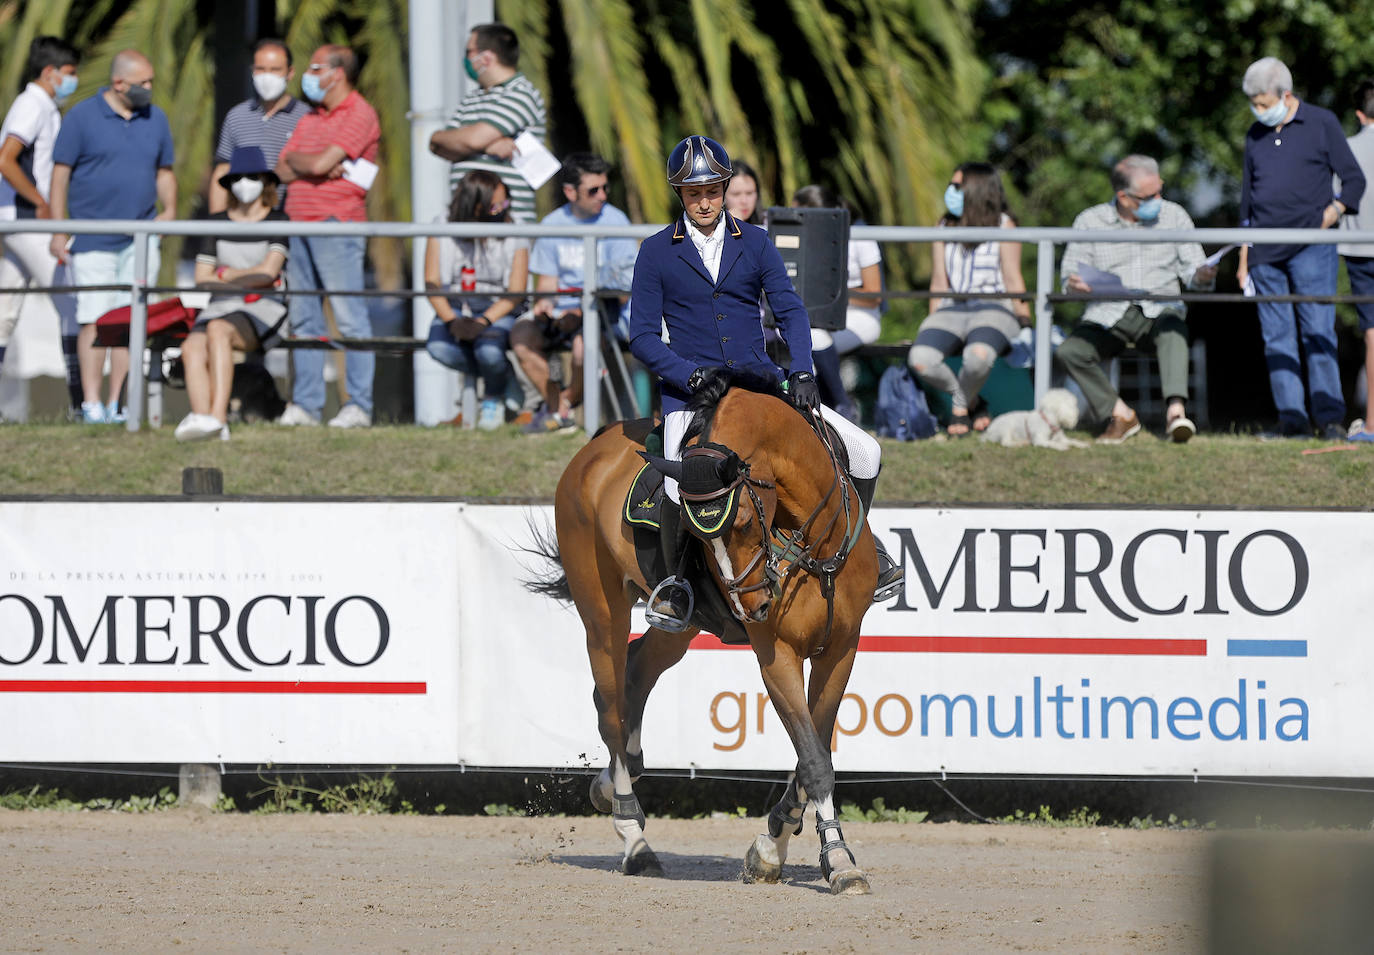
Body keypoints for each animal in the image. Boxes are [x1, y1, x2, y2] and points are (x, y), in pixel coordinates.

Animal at [524, 373, 879, 895]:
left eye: (747, 521)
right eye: (701, 535)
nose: (753, 607)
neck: (814, 546)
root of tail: (595, 447)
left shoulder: (841, 648)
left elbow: (814, 748)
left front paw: (774, 846)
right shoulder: (777, 654)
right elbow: (814, 760)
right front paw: (836, 860)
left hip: (680, 627)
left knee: (636, 675)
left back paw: (615, 780)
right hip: (601, 611)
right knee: (610, 704)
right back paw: (633, 836)